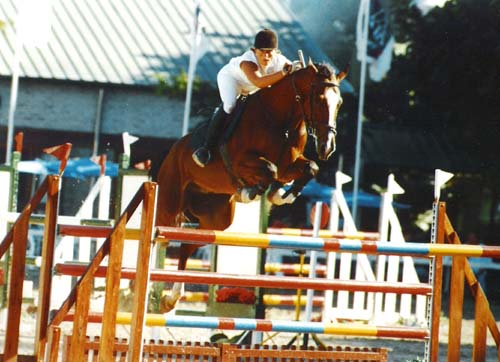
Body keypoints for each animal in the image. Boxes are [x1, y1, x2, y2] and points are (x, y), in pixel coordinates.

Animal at [156, 60, 348, 312]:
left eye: (339, 102)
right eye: (319, 98)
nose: (328, 147)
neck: (281, 120)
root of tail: (173, 151)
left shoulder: (289, 165)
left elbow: (309, 168)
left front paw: (280, 195)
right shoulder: (243, 162)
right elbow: (270, 169)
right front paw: (252, 191)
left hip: (216, 220)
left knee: (188, 245)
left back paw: (171, 298)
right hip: (168, 205)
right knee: (159, 237)